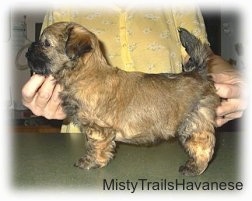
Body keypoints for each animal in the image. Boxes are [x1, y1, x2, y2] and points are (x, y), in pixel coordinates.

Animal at [24, 22, 220, 176]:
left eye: (46, 44)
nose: (28, 49)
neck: (84, 74)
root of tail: (198, 73)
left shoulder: (98, 129)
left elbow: (94, 146)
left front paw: (91, 162)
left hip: (193, 124)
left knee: (203, 147)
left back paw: (193, 168)